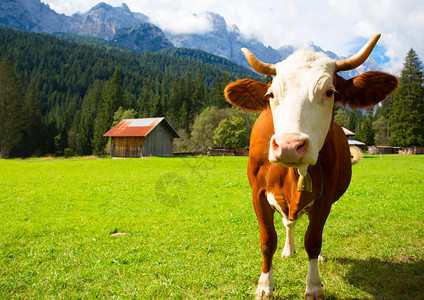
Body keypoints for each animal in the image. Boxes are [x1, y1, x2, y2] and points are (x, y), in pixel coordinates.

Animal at [224, 34, 400, 298]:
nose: (289, 145)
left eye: (329, 92)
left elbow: (314, 241)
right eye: (271, 94)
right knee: (289, 222)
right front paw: (264, 285)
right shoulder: (258, 193)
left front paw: (314, 286)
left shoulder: (325, 197)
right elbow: (267, 241)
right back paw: (288, 249)